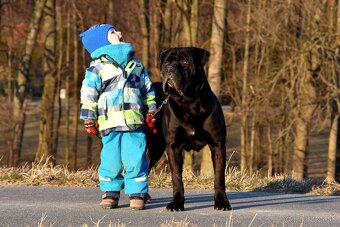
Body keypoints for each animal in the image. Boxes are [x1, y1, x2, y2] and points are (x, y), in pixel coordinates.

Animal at [155, 47, 232, 212]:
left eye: (185, 61)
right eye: (166, 62)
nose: (169, 69)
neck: (189, 102)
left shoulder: (217, 145)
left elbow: (219, 177)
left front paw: (221, 202)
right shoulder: (174, 147)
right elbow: (177, 177)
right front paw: (177, 203)